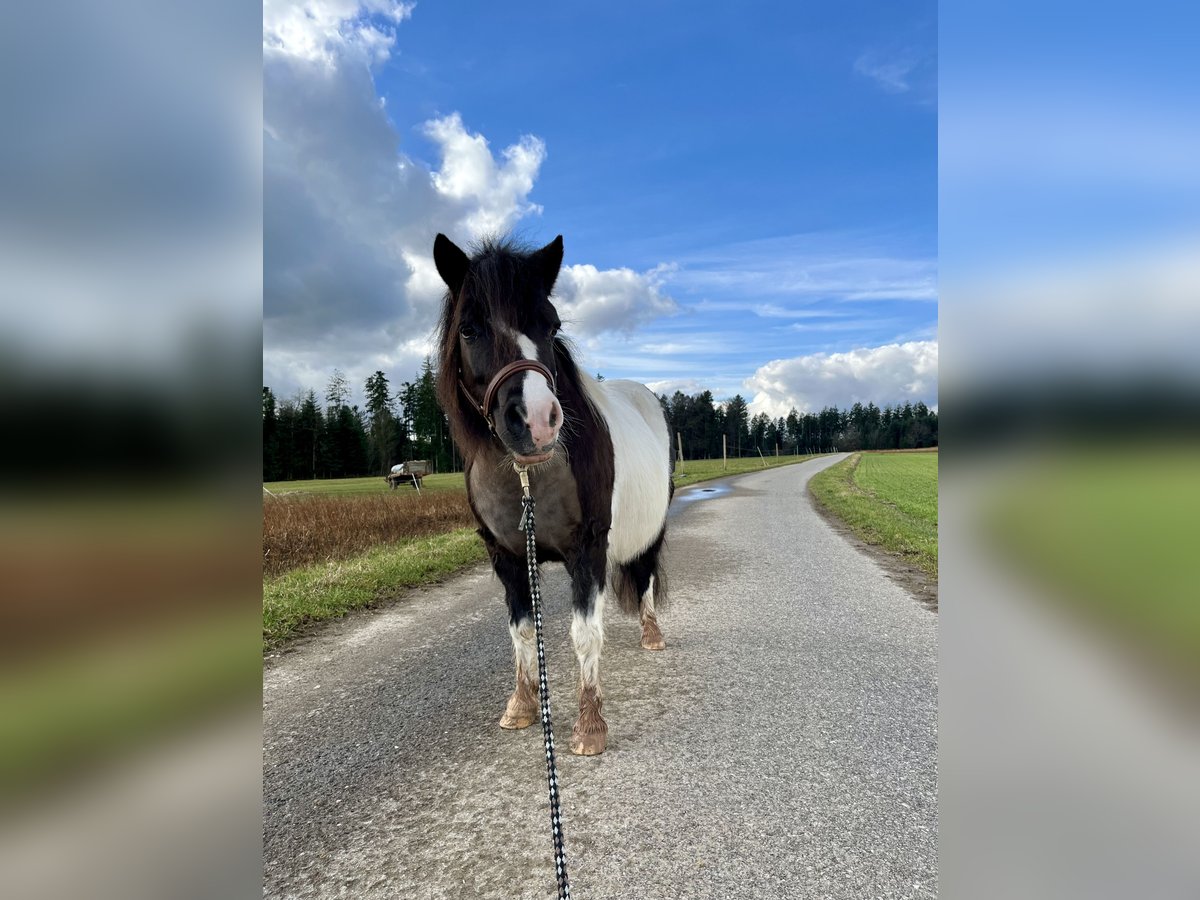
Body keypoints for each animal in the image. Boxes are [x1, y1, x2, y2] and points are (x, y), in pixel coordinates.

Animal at [434, 232, 676, 753]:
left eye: (552, 325)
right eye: (469, 330)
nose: (538, 422)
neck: (528, 477)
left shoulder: (588, 549)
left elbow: (584, 634)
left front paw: (590, 727)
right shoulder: (506, 557)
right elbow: (523, 634)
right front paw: (522, 706)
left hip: (651, 528)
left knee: (644, 576)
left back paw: (651, 634)